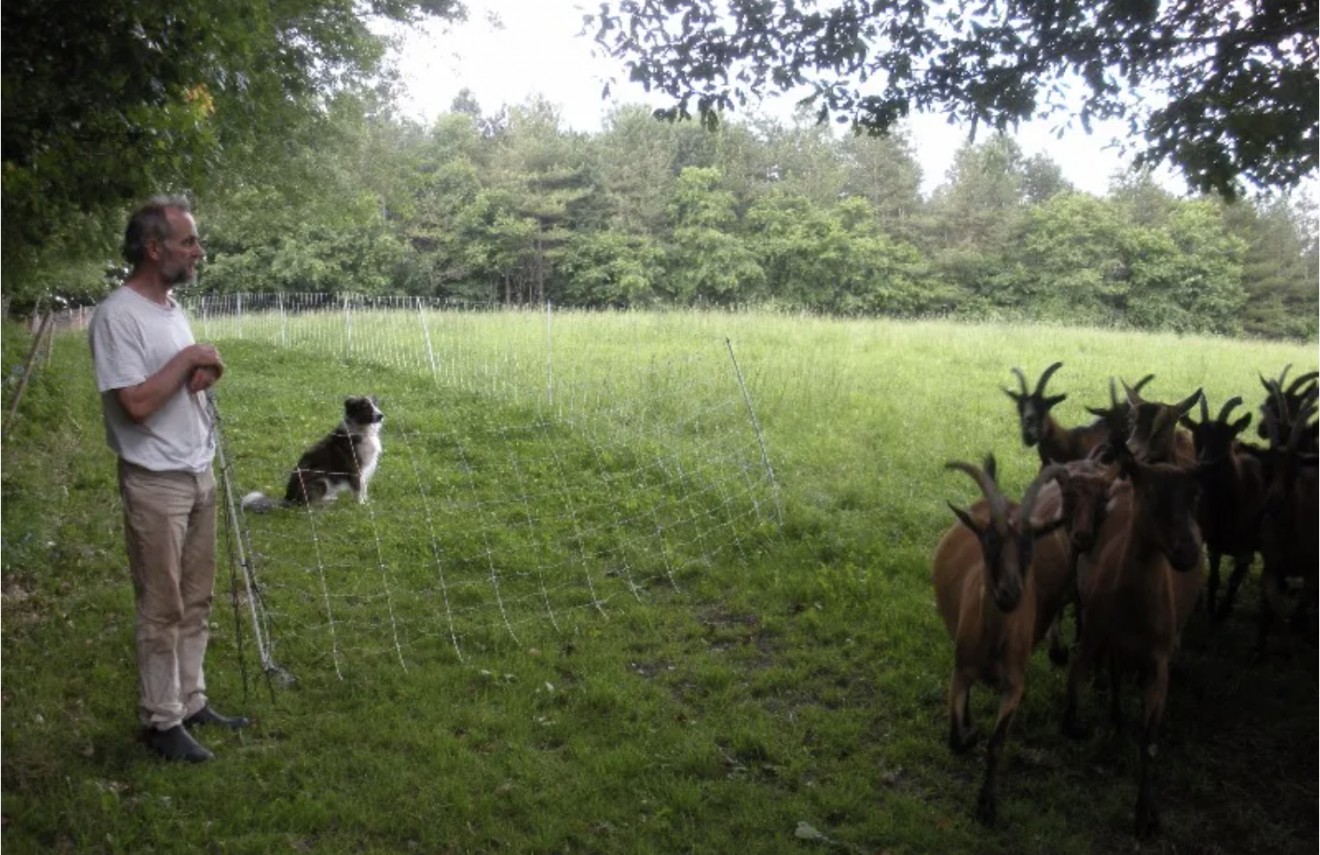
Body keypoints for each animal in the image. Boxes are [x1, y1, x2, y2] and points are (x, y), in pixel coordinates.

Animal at [934, 456, 1066, 823]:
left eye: (1029, 544)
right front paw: (969, 734)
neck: (993, 646)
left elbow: (997, 743)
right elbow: (955, 736)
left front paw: (987, 806)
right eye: (988, 541)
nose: (1010, 593)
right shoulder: (960, 670)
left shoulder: (1015, 684)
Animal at [1061, 451, 1209, 839]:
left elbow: (1149, 741)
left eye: (1194, 496)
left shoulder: (1158, 660)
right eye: (1151, 494)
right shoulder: (1094, 634)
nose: (1188, 553)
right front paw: (1077, 723)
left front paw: (1146, 813)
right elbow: (1074, 677)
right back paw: (1115, 714)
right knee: (1113, 671)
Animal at [1177, 393, 1267, 620]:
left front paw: (1223, 612)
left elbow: (1234, 582)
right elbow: (1214, 578)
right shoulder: (1214, 545)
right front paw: (1210, 609)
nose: (1204, 466)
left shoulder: (1247, 551)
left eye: (1227, 438)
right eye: (1197, 436)